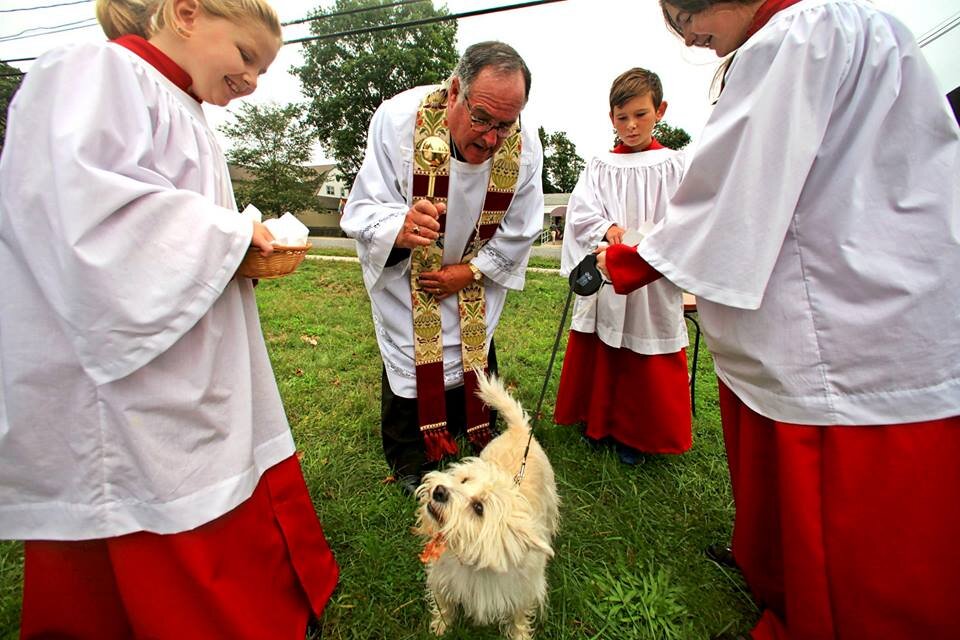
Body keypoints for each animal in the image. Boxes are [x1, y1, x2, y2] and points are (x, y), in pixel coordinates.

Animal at [414, 372, 564, 636]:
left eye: (478, 508)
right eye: (464, 480)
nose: (440, 491)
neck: (473, 561)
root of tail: (519, 431)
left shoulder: (521, 591)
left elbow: (518, 616)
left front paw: (520, 635)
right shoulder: (444, 579)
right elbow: (444, 604)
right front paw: (441, 626)